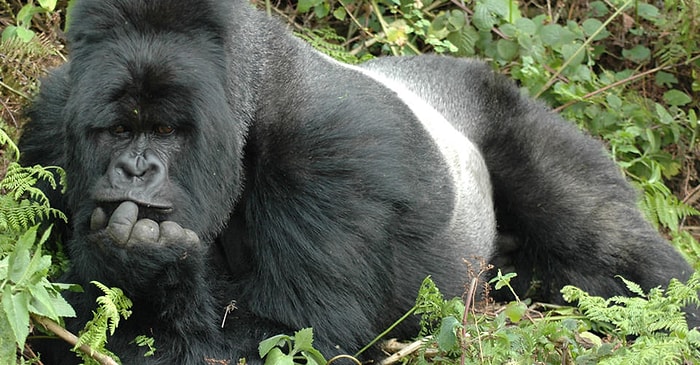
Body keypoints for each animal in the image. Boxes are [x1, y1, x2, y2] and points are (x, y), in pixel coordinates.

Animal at [19, 0, 696, 362]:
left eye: (163, 130)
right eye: (118, 130)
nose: (134, 169)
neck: (251, 98)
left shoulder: (335, 149)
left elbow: (300, 334)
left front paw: (152, 273)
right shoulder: (52, 119)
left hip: (510, 112)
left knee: (603, 245)